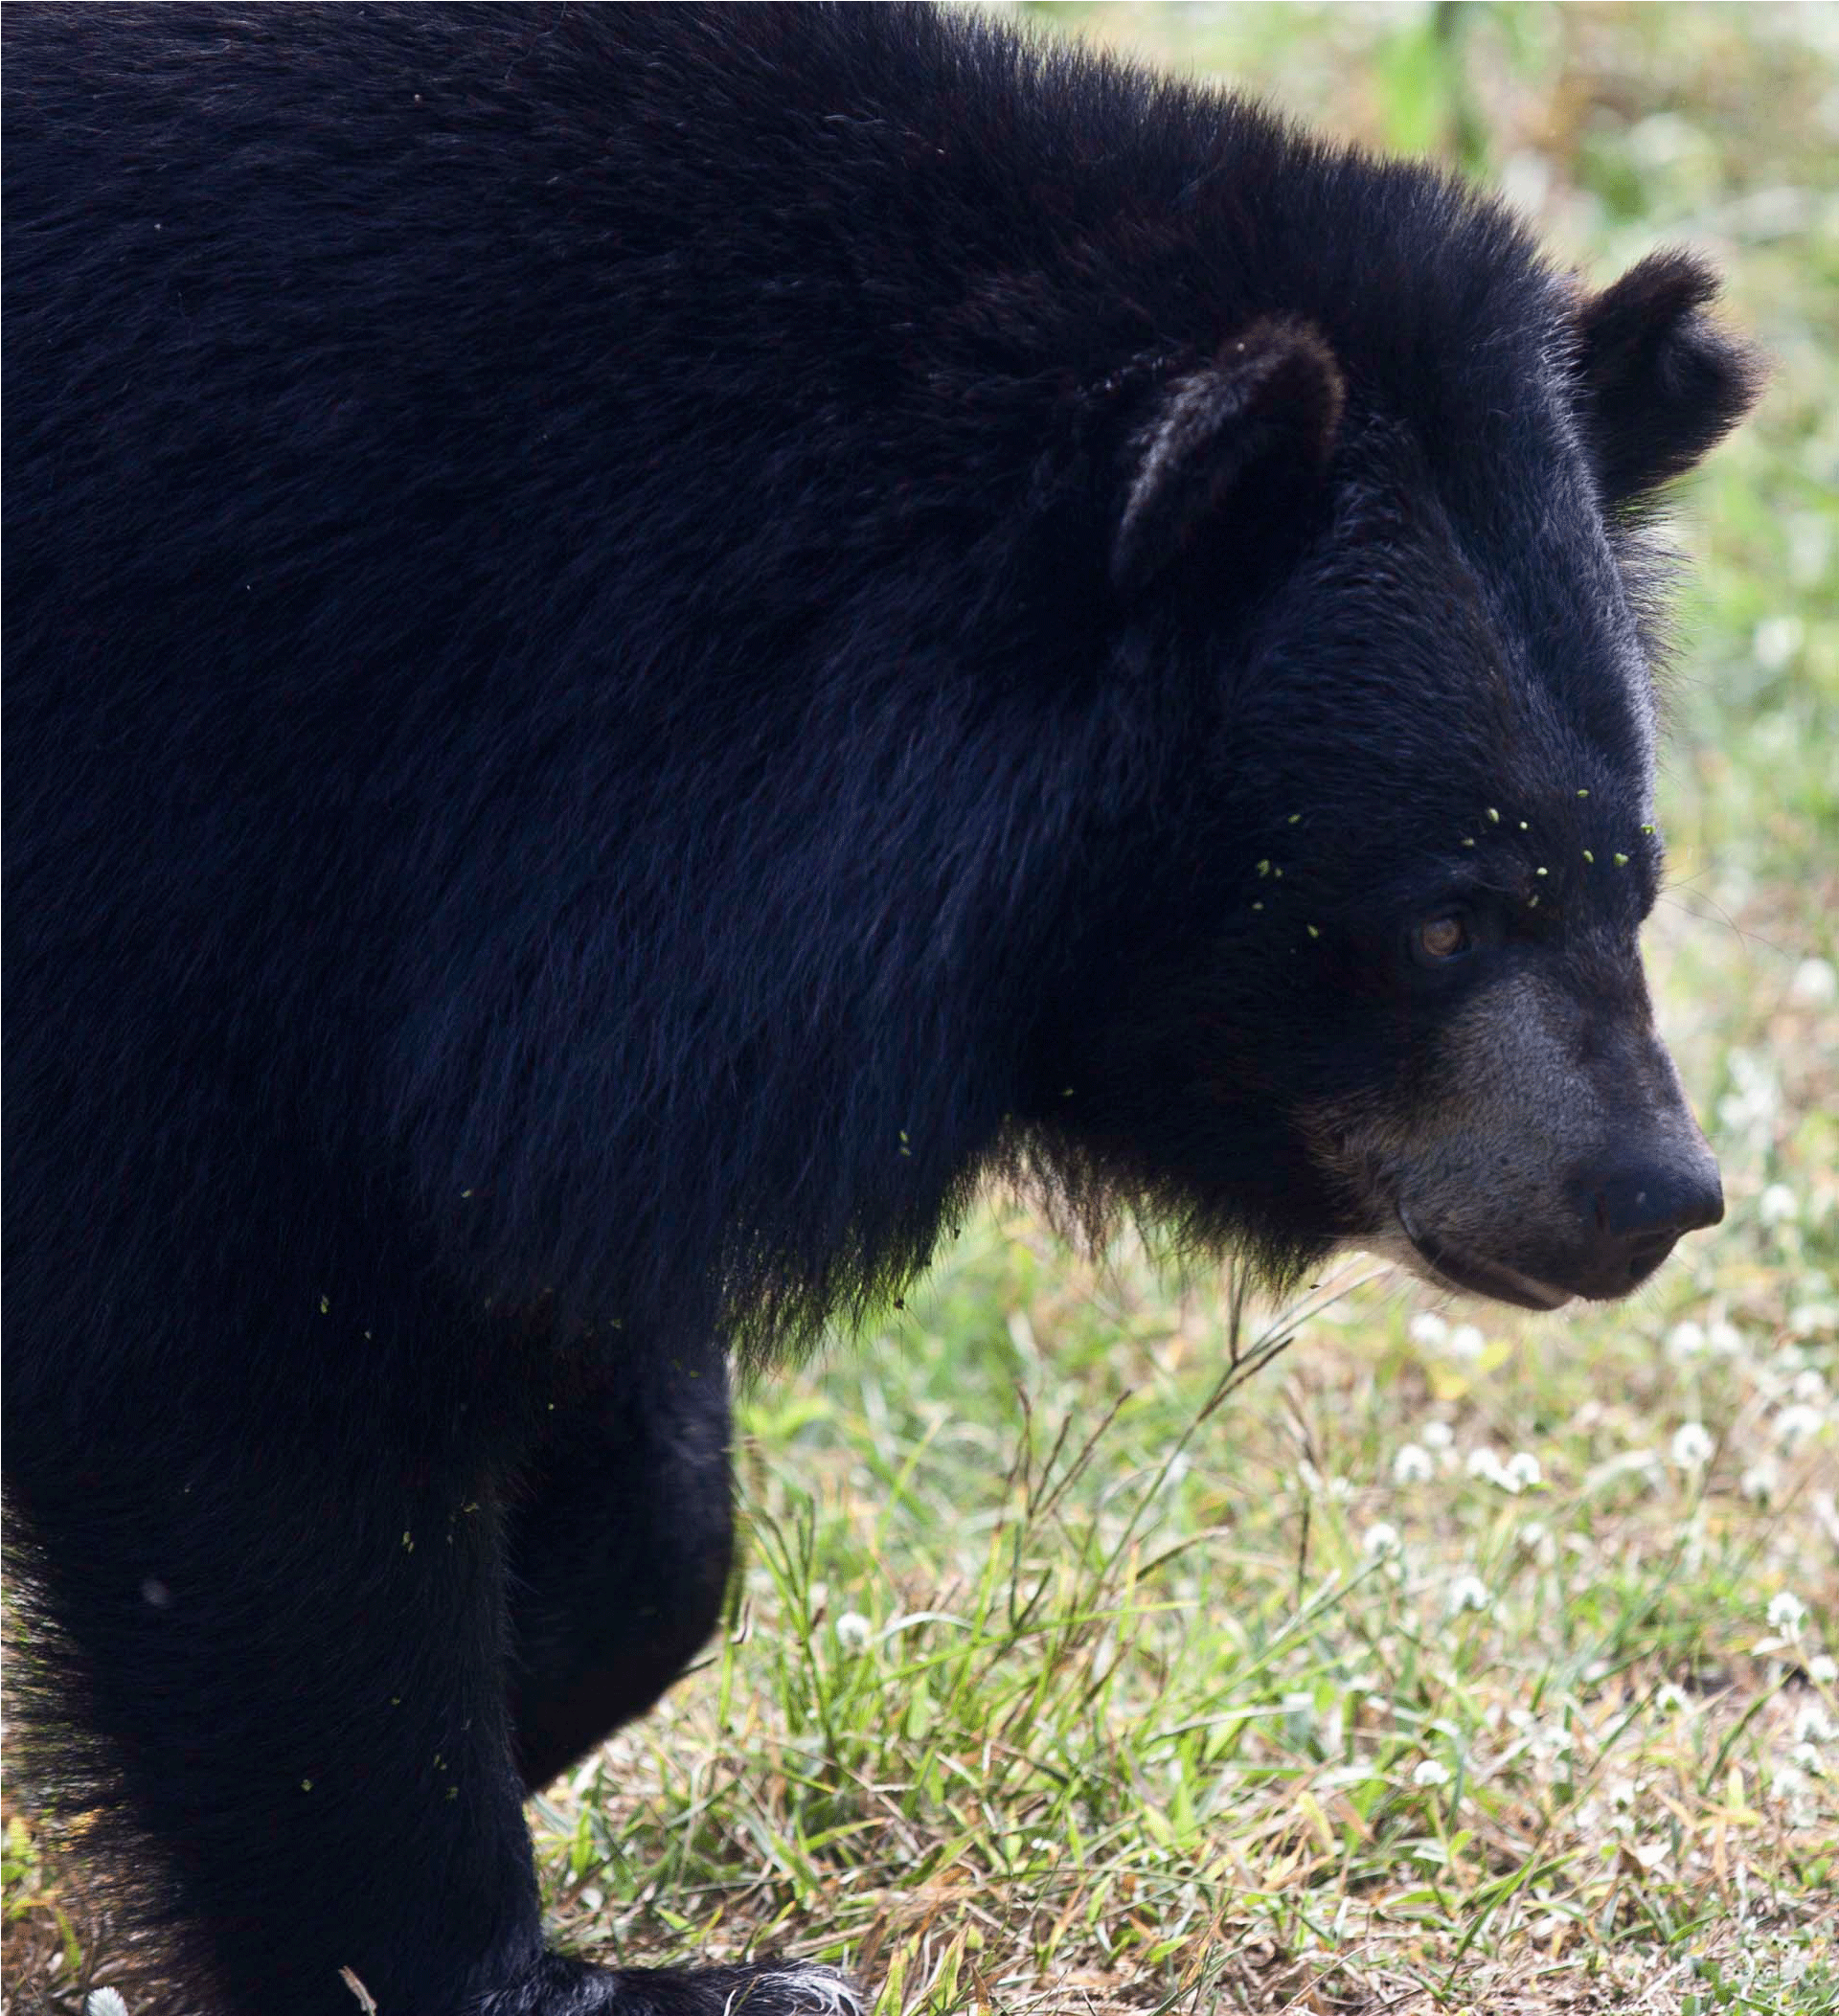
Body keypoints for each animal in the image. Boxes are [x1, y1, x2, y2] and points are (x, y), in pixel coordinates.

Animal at [0, 3, 1759, 2012]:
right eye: (1442, 920)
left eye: (1630, 881)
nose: (1653, 1195)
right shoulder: (186, 824)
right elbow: (244, 1395)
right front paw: (582, 1968)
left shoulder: (531, 977)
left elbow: (575, 1357)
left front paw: (540, 1670)